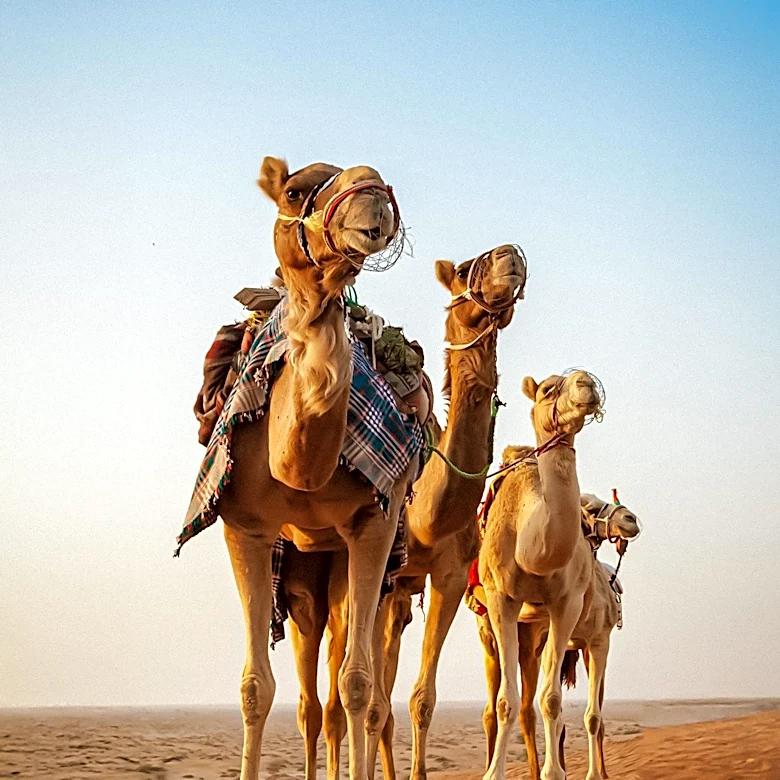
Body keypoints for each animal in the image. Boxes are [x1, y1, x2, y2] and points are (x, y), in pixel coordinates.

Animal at [183, 157, 421, 780]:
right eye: (293, 191)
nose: (372, 199)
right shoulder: (244, 525)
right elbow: (254, 688)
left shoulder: (373, 523)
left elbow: (359, 685)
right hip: (297, 576)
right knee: (312, 700)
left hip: (345, 565)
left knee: (344, 690)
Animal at [279, 245, 528, 780]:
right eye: (464, 269)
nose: (510, 256)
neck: (428, 519)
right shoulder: (383, 580)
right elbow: (372, 701)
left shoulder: (448, 576)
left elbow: (418, 700)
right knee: (321, 705)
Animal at [477, 372, 605, 780]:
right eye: (548, 389)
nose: (585, 383)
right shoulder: (500, 598)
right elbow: (506, 700)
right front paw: (493, 774)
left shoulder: (567, 603)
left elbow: (551, 699)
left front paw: (554, 773)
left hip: (554, 629)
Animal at [477, 489, 641, 780]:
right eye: (590, 508)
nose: (629, 519)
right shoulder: (593, 641)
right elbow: (583, 716)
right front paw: (585, 774)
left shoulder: (596, 641)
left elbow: (591, 716)